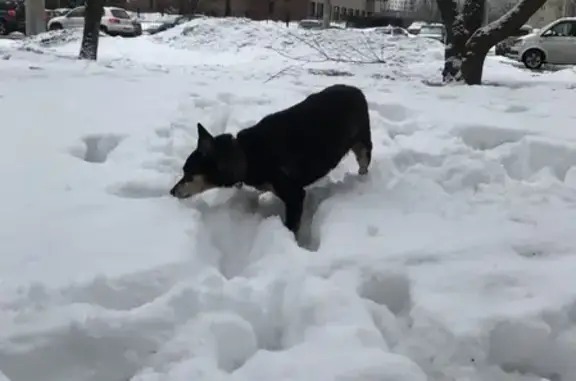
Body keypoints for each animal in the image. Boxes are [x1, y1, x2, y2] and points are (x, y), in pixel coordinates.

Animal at [169, 84, 372, 235]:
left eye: (188, 173)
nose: (171, 192)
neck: (246, 156)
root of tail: (357, 90)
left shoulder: (294, 195)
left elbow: (292, 227)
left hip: (362, 142)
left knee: (364, 161)